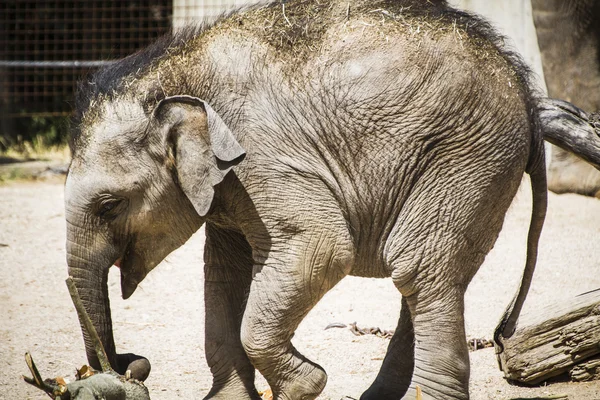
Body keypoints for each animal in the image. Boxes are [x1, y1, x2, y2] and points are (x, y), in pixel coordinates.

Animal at [65, 0, 548, 400]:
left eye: (109, 206)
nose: (133, 364)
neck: (178, 74)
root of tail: (526, 90)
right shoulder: (230, 186)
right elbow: (222, 273)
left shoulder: (263, 156)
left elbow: (322, 247)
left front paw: (302, 387)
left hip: (467, 158)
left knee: (419, 268)